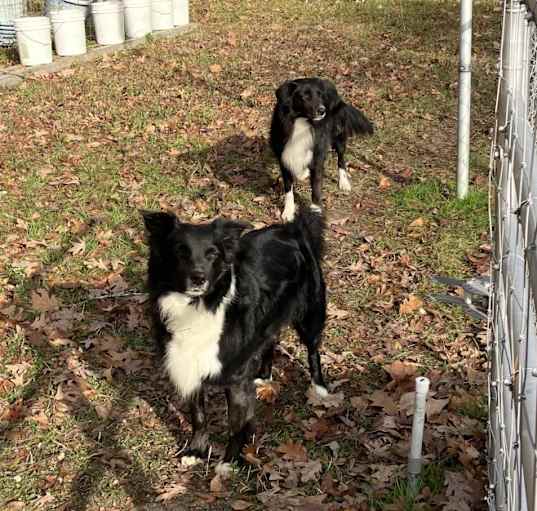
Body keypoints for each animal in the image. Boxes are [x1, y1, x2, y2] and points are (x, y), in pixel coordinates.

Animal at [142, 206, 326, 474]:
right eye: (180, 251)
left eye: (212, 253)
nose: (198, 278)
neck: (198, 305)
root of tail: (291, 228)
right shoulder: (192, 366)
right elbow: (198, 416)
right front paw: (196, 451)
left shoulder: (236, 381)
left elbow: (236, 425)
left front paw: (229, 461)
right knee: (271, 339)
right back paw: (264, 375)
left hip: (310, 312)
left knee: (313, 349)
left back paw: (320, 389)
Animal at [268, 77, 372, 221]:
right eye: (305, 96)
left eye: (320, 95)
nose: (322, 110)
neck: (302, 122)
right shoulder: (284, 156)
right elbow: (288, 188)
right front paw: (288, 211)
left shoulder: (317, 156)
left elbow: (316, 188)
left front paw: (316, 211)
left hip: (338, 135)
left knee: (341, 159)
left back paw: (344, 182)